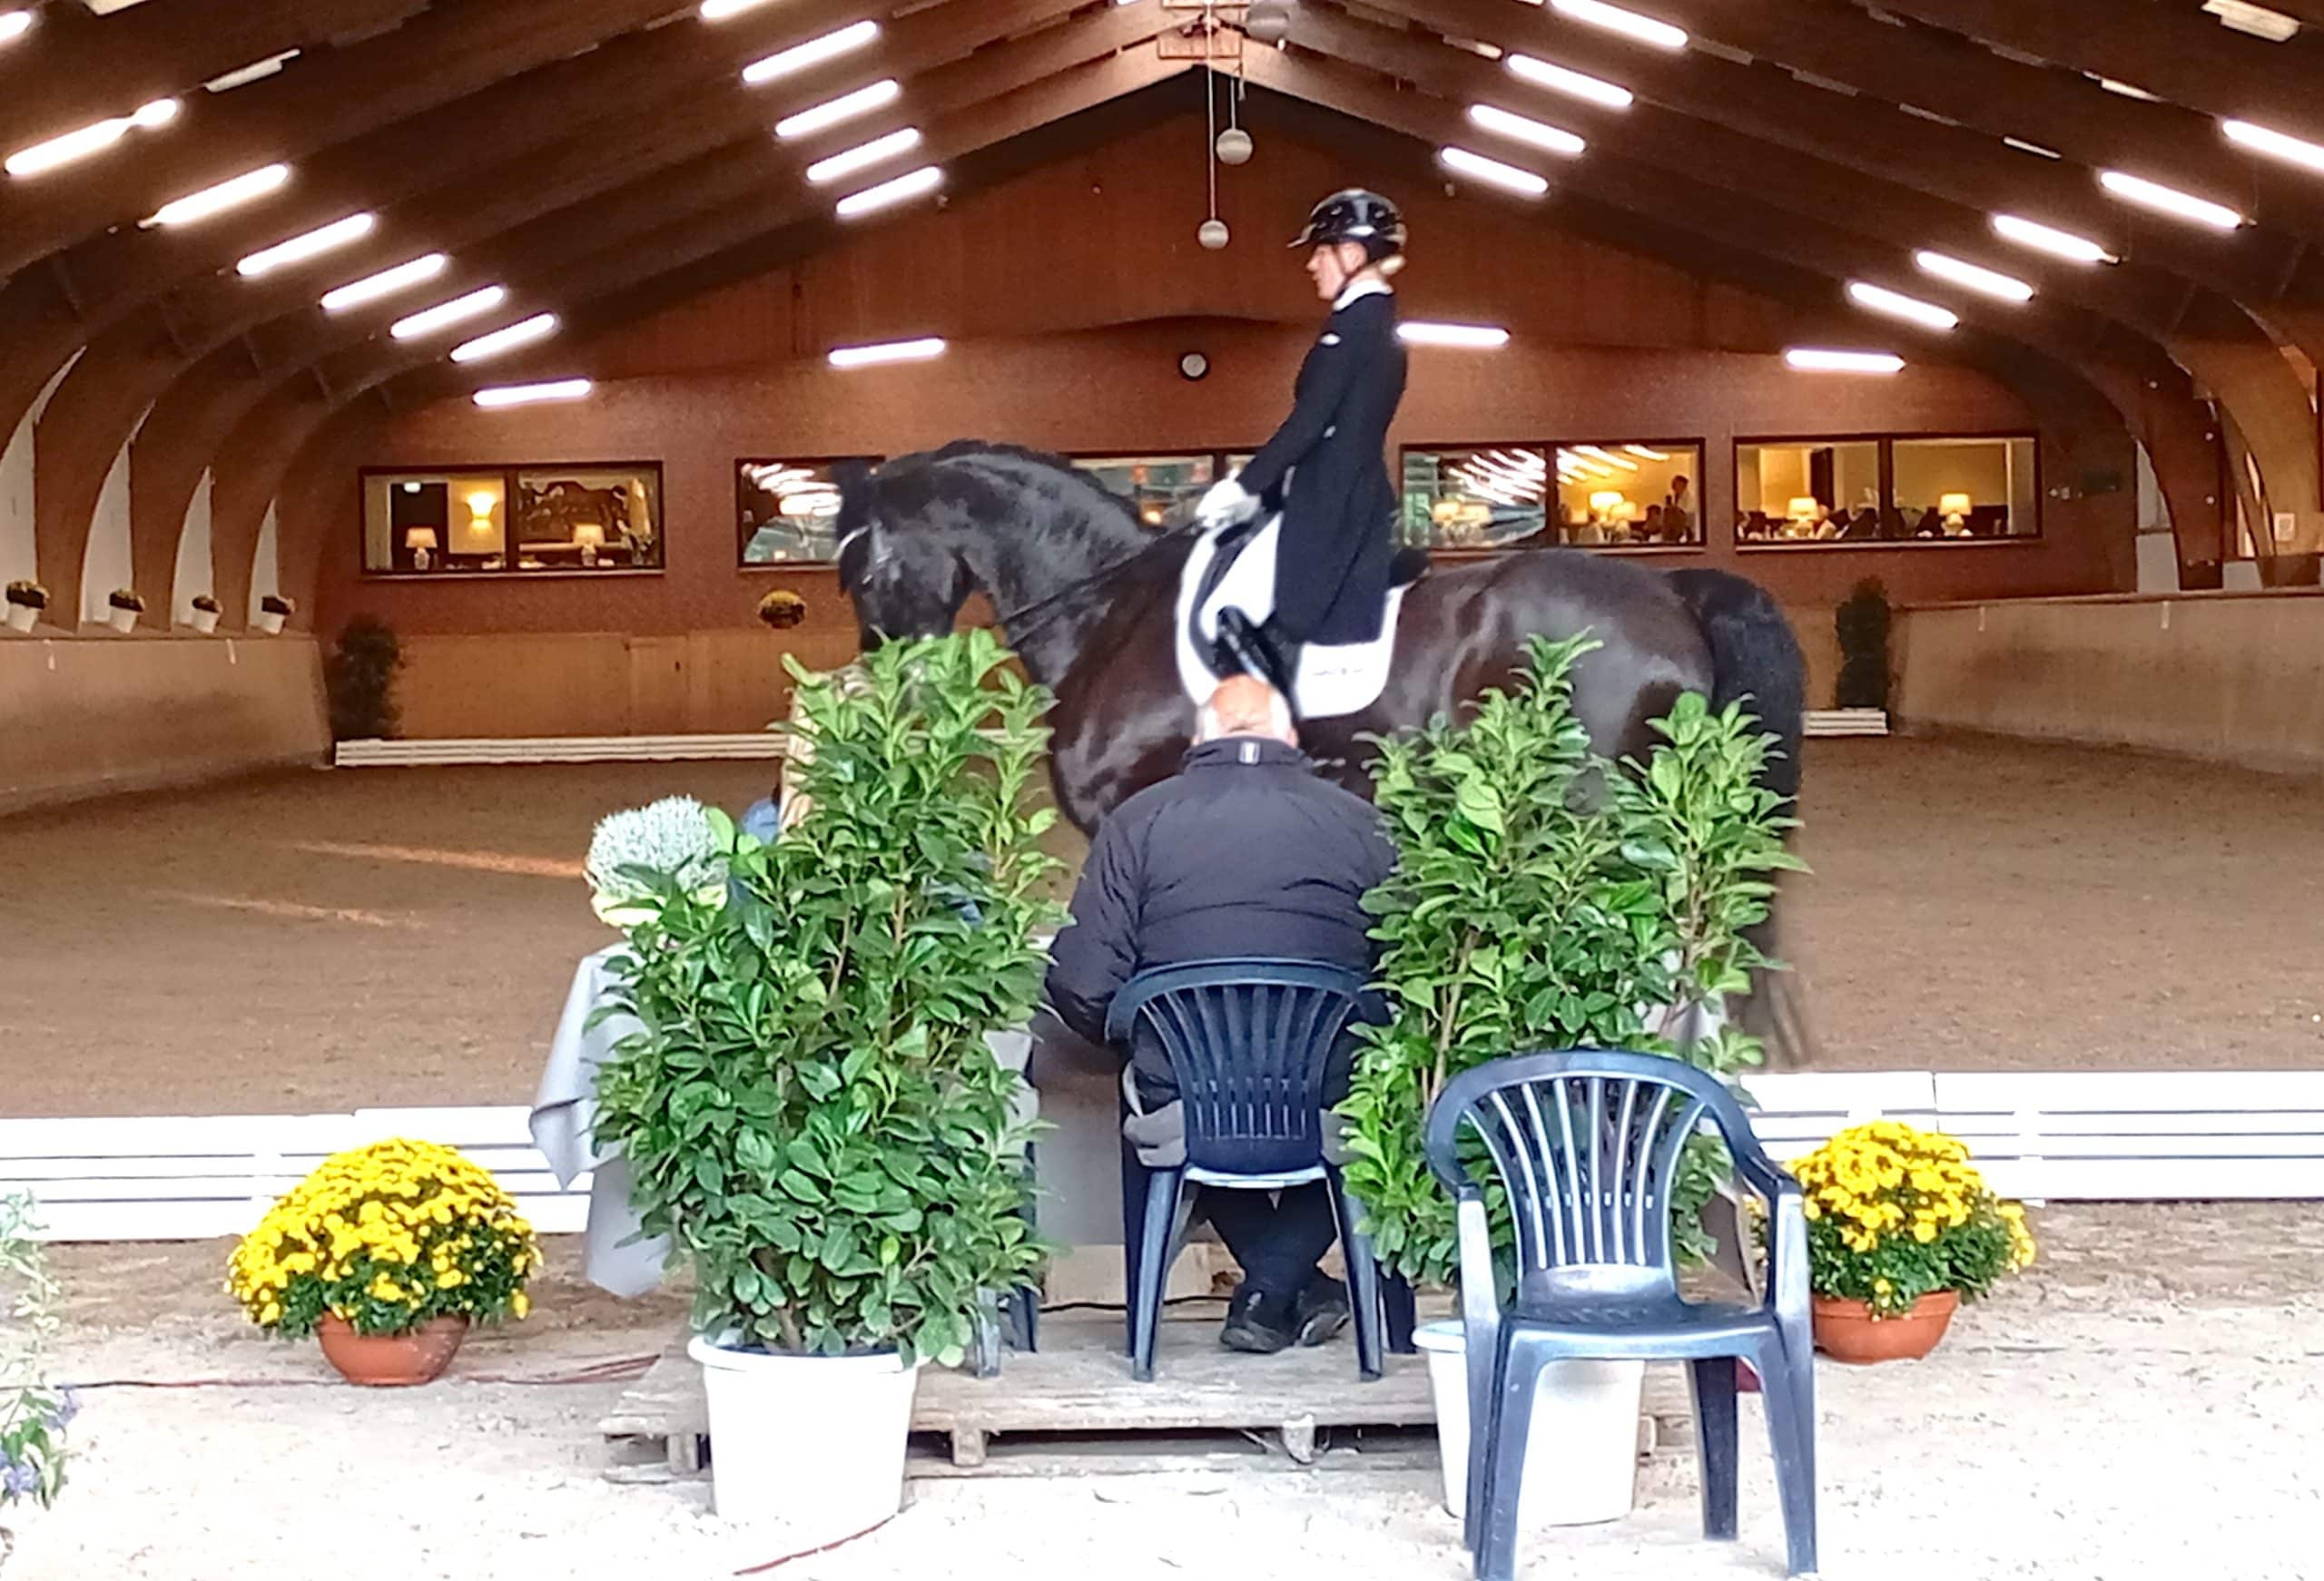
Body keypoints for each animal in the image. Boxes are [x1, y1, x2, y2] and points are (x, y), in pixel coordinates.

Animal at [836, 439, 1812, 1069]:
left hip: (1594, 816)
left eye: (866, 571)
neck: (1116, 610)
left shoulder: (1131, 816)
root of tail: (1670, 590)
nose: (886, 684)